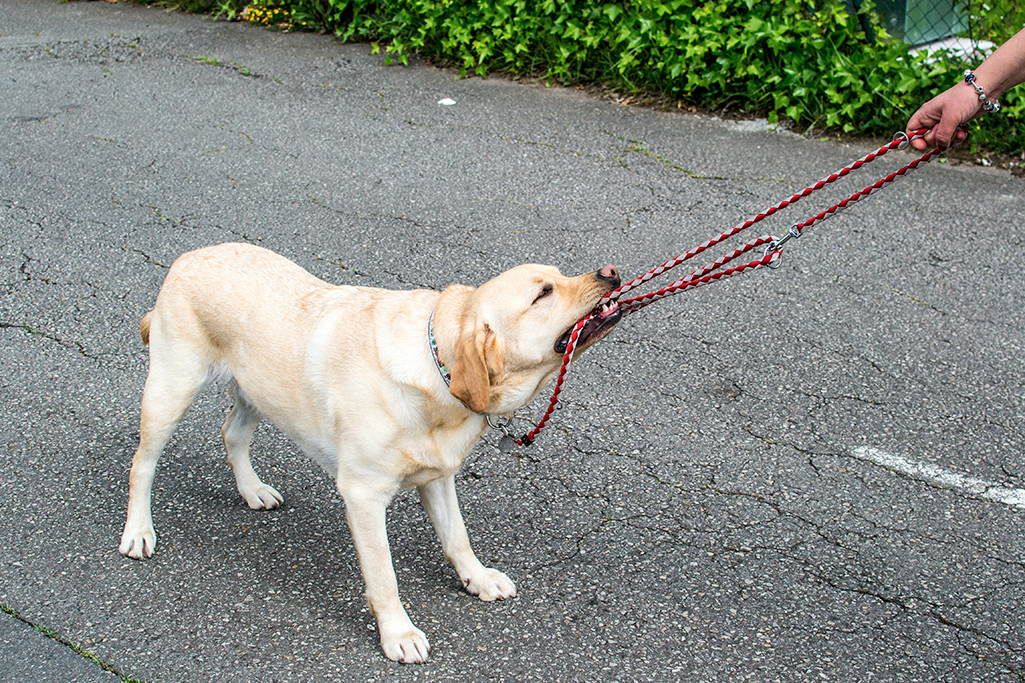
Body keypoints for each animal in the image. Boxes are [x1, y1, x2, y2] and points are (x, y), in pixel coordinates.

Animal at [116, 240, 619, 660]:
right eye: (544, 293)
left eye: (557, 274)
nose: (611, 271)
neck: (436, 369)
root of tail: (188, 256)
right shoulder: (362, 495)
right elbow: (384, 575)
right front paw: (399, 633)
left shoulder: (438, 477)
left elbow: (457, 536)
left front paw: (476, 578)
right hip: (171, 387)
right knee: (142, 465)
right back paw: (139, 530)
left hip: (257, 391)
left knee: (231, 434)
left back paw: (252, 489)